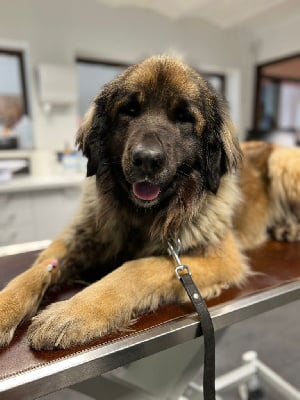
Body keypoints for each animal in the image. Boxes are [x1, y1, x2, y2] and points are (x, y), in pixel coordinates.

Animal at [0, 56, 300, 350]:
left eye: (184, 118)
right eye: (129, 110)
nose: (146, 159)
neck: (141, 216)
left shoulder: (221, 259)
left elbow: (137, 268)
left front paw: (74, 312)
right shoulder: (81, 237)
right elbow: (36, 269)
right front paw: (6, 306)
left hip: (281, 163)